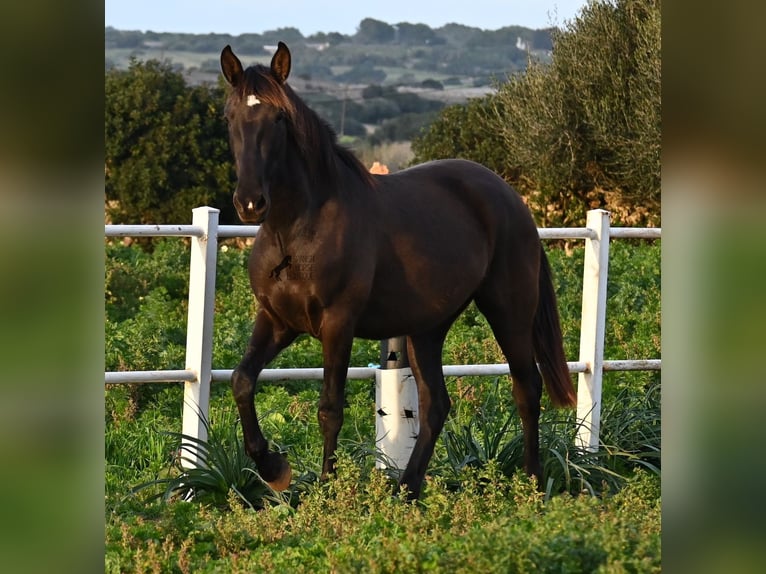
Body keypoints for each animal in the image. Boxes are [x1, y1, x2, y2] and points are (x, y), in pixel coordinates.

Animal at [219, 41, 572, 500]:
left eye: (278, 118)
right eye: (229, 117)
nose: (249, 203)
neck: (295, 231)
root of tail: (513, 199)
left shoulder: (338, 324)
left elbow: (330, 407)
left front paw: (328, 490)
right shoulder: (278, 320)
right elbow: (242, 380)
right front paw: (274, 468)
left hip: (509, 311)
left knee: (526, 388)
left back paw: (530, 482)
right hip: (427, 328)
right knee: (436, 403)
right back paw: (406, 489)